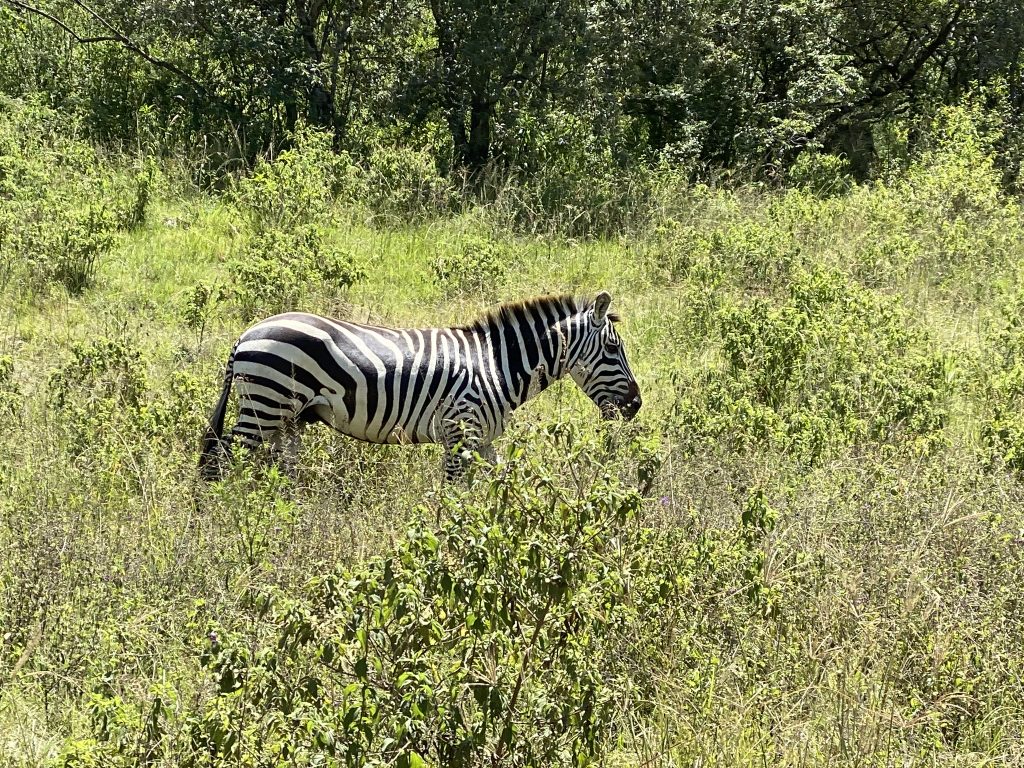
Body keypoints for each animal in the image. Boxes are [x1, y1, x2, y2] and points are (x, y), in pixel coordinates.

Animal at [198, 291, 642, 481]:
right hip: (264, 404)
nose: (636, 405)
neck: (495, 366)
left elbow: (500, 482)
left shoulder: (483, 438)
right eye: (613, 348)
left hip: (284, 416)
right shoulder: (460, 433)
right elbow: (454, 493)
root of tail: (246, 334)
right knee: (224, 457)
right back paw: (231, 509)